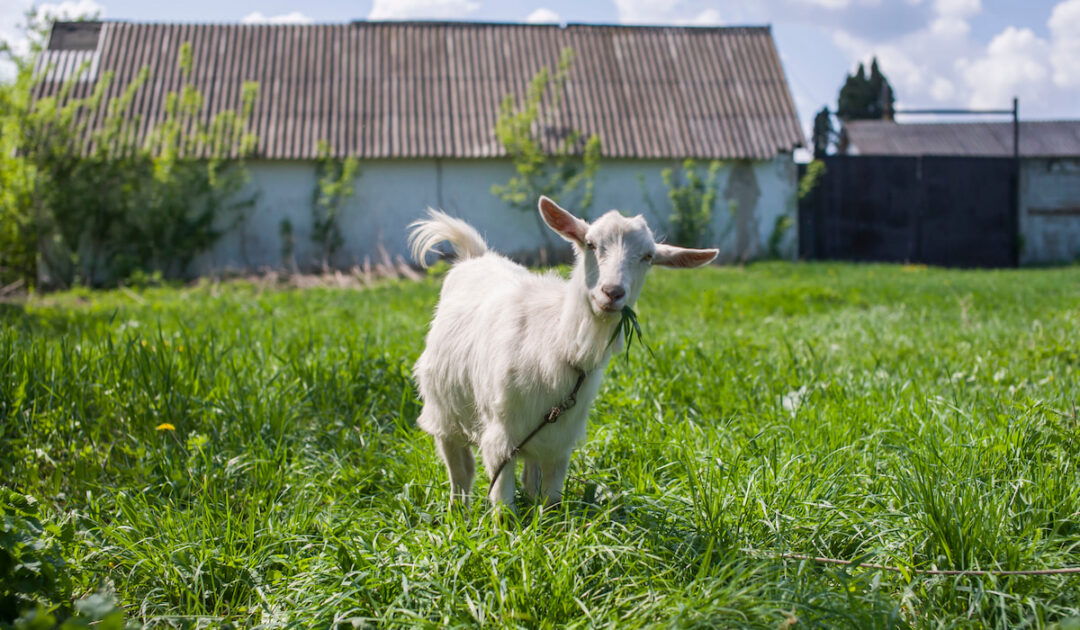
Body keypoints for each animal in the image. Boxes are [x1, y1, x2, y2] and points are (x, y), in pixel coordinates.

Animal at [409, 196, 718, 510]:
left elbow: (552, 500)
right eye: (590, 243)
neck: (556, 342)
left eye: (648, 256)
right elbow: (502, 503)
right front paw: (502, 523)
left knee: (529, 473)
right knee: (461, 471)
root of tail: (477, 256)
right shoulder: (500, 437)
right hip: (443, 411)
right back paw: (457, 511)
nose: (612, 292)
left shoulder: (559, 441)